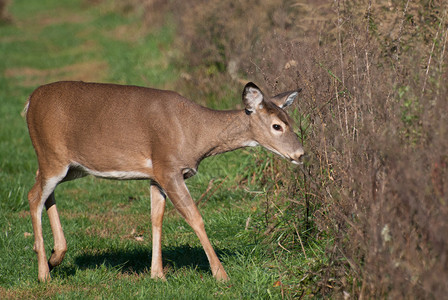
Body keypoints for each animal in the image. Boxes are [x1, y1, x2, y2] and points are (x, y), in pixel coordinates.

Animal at [25, 79, 304, 282]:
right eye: (277, 126)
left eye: (291, 121)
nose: (300, 154)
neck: (196, 132)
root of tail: (29, 101)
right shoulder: (168, 168)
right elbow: (195, 218)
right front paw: (221, 275)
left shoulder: (157, 175)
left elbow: (156, 218)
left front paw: (157, 274)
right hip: (52, 154)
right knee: (34, 195)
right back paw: (43, 273)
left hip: (72, 166)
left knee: (43, 189)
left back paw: (55, 256)